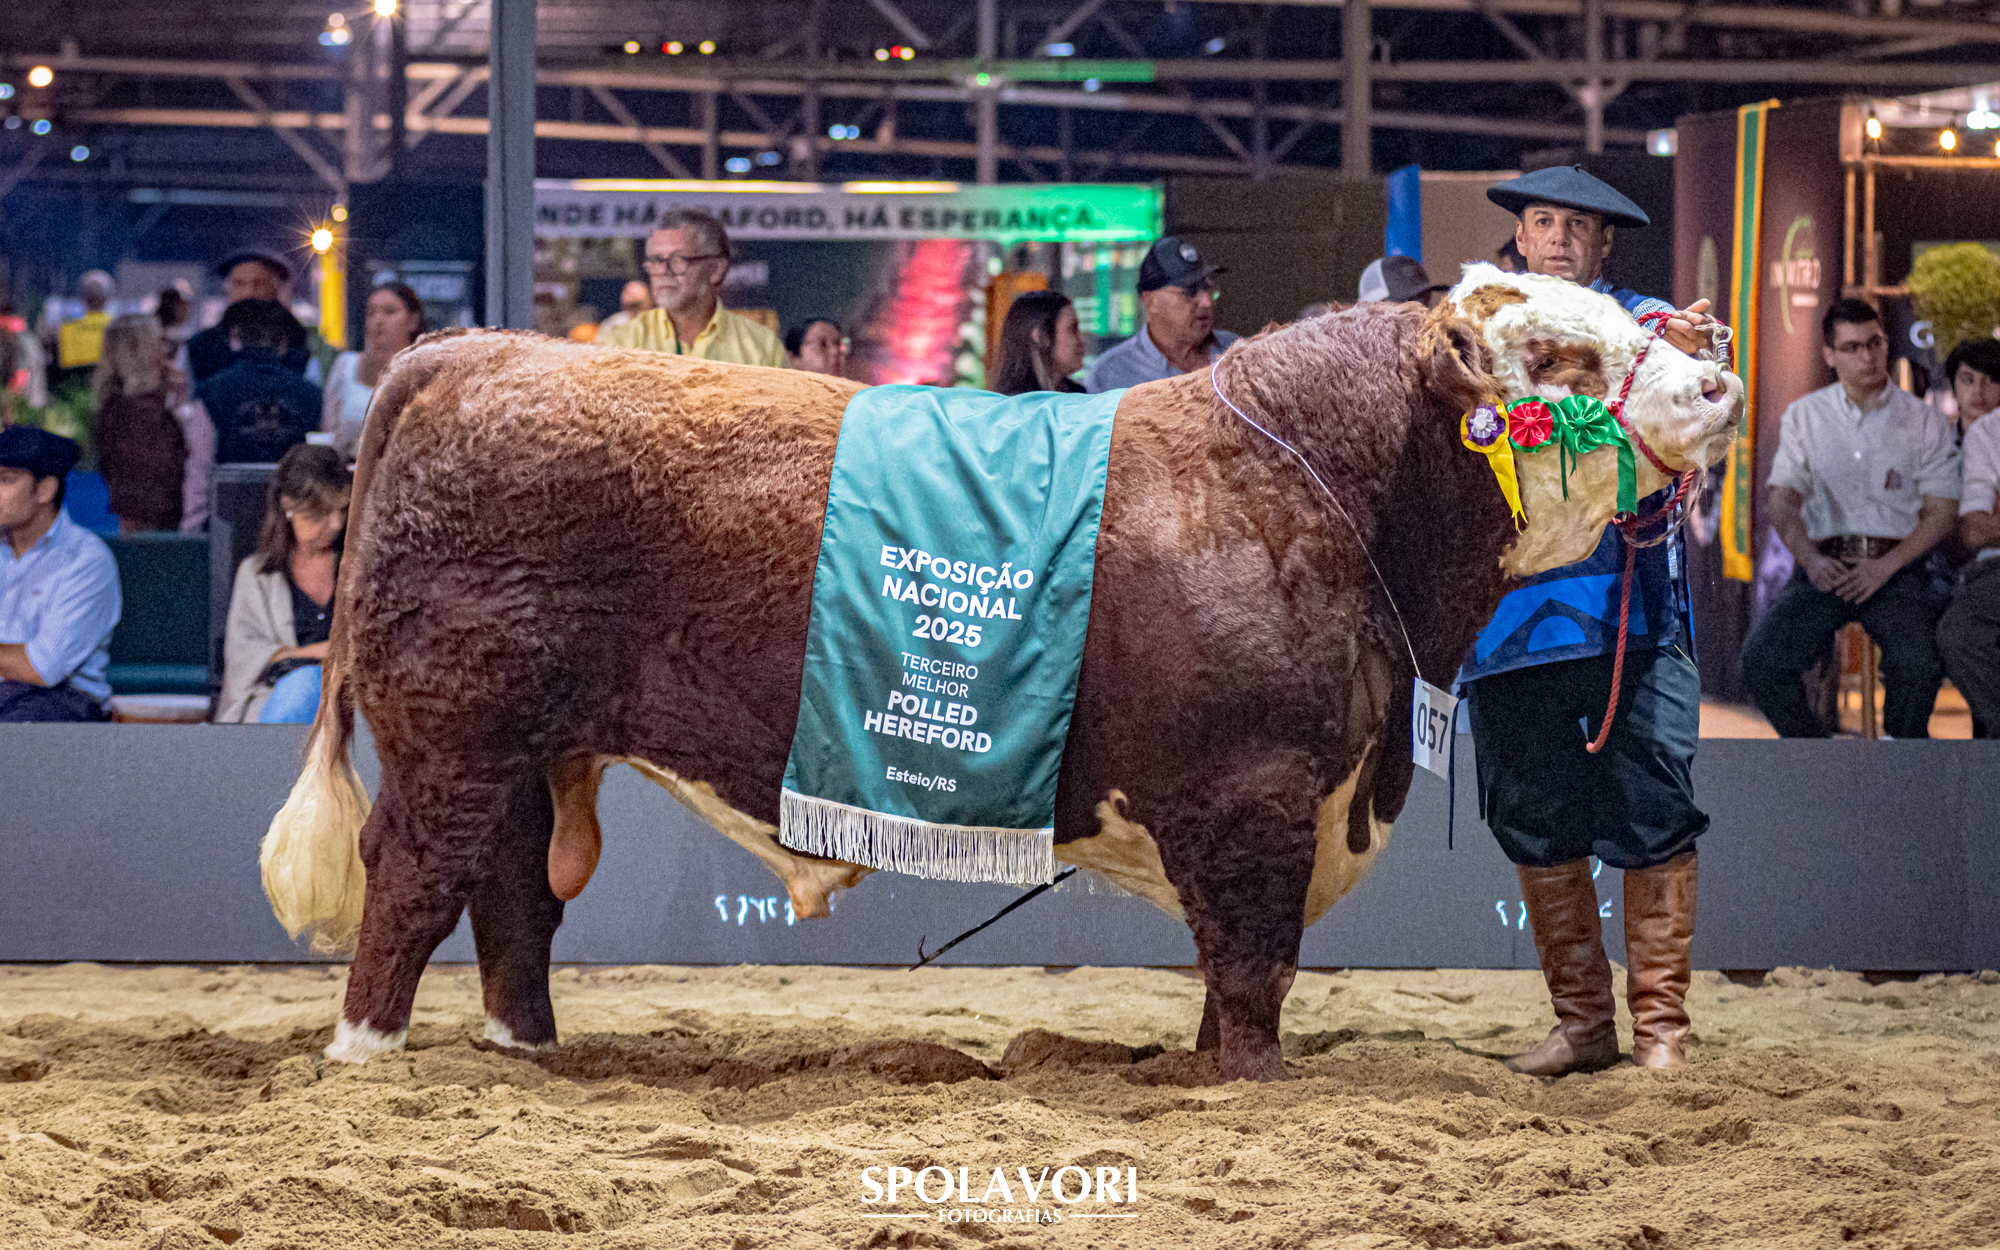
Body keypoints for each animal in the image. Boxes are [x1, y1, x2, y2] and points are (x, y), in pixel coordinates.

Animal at [262, 264, 1741, 1083]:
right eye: (1559, 356)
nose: (1720, 383)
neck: (1314, 493)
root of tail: (472, 350)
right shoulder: (1251, 793)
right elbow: (1254, 964)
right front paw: (1253, 1080)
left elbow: (1229, 969)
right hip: (454, 731)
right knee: (415, 876)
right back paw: (364, 1048)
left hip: (526, 744)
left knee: (511, 892)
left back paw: (524, 1045)